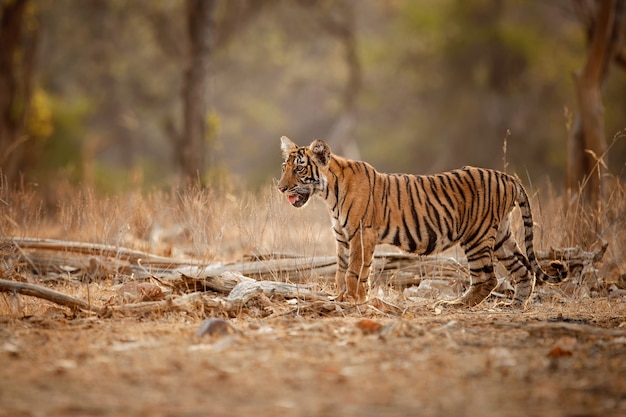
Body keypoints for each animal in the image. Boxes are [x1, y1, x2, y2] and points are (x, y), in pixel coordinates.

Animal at [276, 136, 564, 306]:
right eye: (284, 167)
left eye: (299, 168)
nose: (280, 188)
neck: (328, 194)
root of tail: (508, 177)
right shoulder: (342, 237)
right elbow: (341, 270)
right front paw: (344, 297)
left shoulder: (360, 234)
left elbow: (354, 270)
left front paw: (353, 299)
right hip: (501, 234)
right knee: (524, 270)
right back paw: (516, 306)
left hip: (477, 235)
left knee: (488, 278)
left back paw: (456, 305)